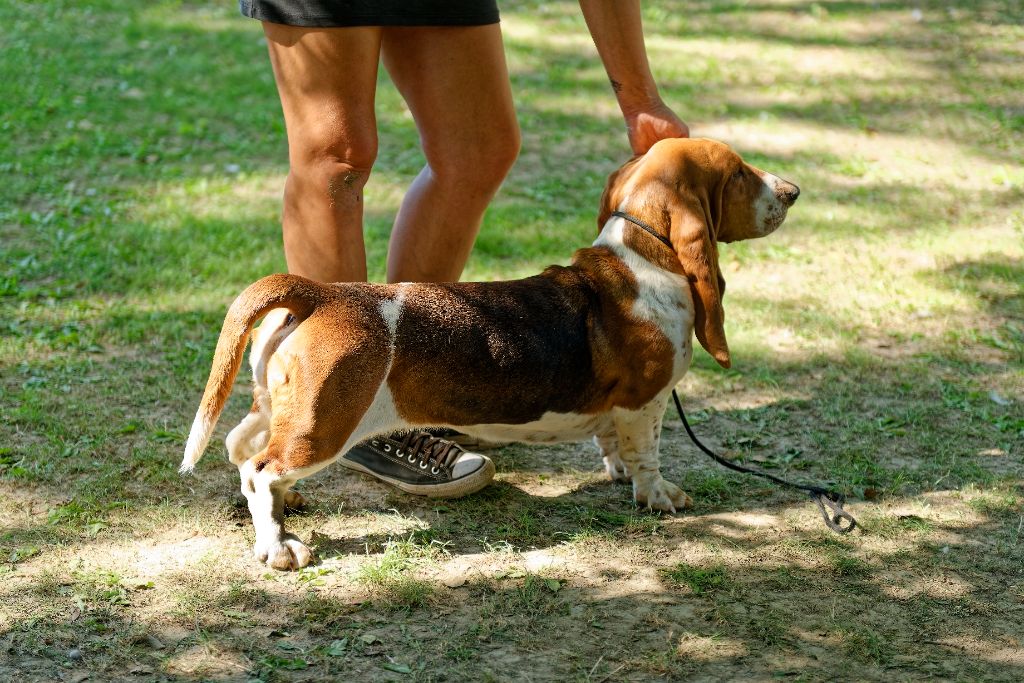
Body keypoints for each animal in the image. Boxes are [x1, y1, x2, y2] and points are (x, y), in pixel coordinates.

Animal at [180, 136, 794, 569]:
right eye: (738, 173)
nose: (792, 191)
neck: (645, 255)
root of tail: (322, 292)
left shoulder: (621, 411)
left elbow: (613, 444)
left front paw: (618, 472)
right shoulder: (645, 403)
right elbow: (648, 454)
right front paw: (659, 497)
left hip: (280, 407)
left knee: (241, 450)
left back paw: (284, 516)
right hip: (322, 425)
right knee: (262, 471)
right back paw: (280, 548)